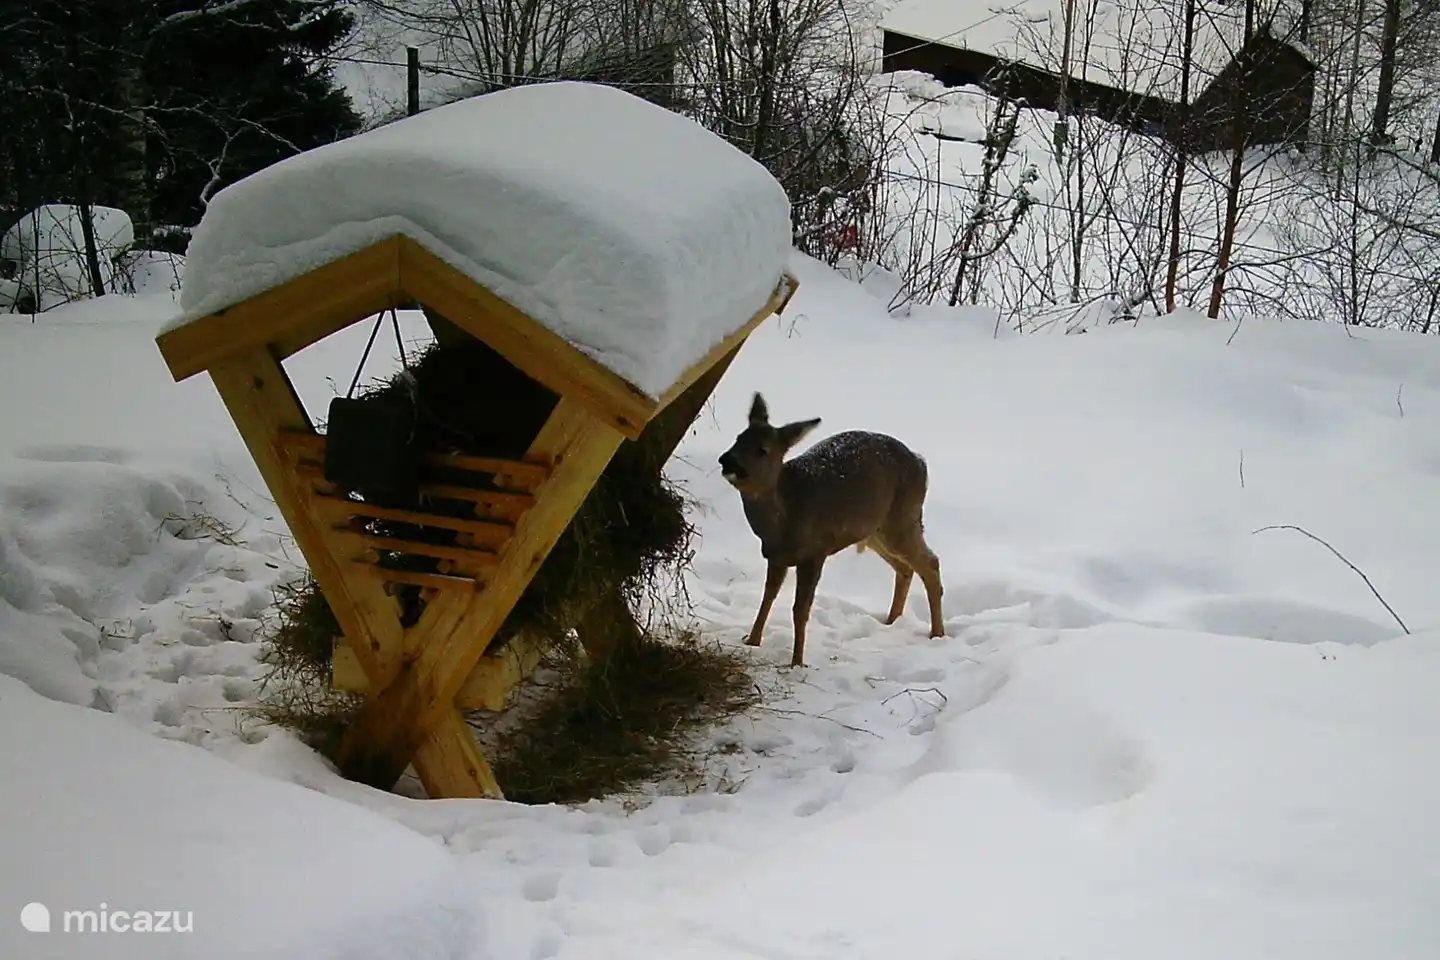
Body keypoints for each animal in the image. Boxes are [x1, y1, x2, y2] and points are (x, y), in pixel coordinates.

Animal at [717, 392, 946, 667]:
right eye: (738, 438)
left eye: (762, 450)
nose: (726, 460)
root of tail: (921, 462)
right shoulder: (776, 556)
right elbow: (768, 596)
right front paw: (752, 641)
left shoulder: (816, 551)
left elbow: (800, 609)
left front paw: (797, 662)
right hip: (874, 530)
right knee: (905, 567)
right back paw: (891, 622)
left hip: (904, 517)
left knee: (930, 562)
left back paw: (937, 634)